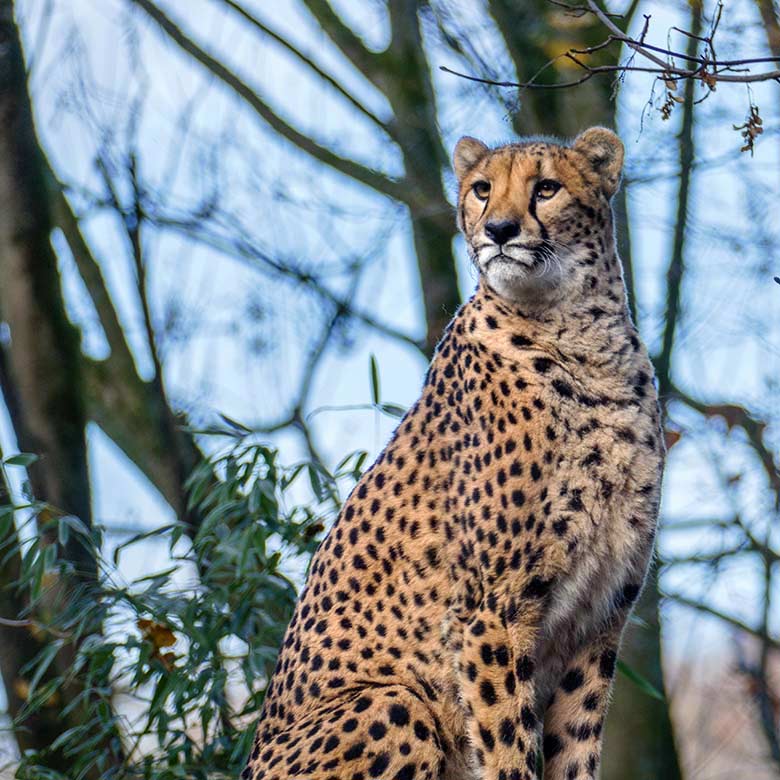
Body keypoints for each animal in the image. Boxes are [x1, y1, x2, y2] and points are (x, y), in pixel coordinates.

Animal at [242, 128, 664, 780]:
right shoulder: (490, 610)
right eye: (482, 190)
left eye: (547, 187)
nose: (499, 230)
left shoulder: (598, 619)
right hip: (395, 702)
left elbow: (575, 748)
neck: (581, 337)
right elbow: (507, 743)